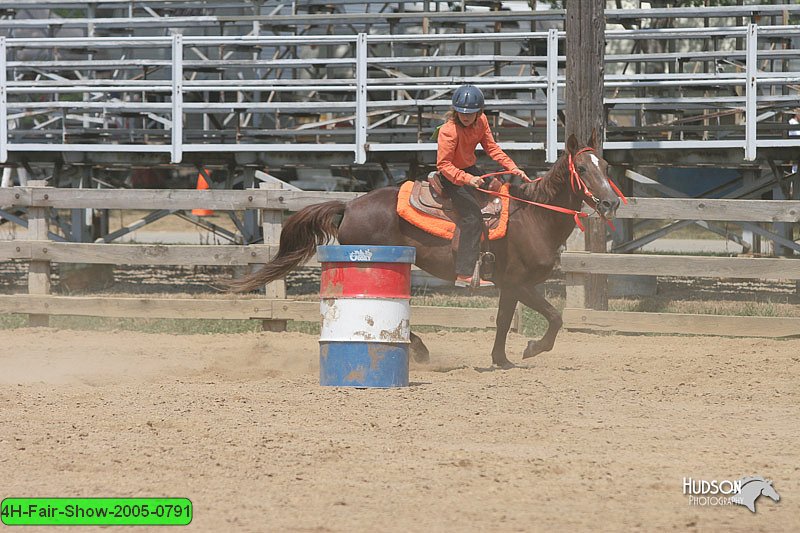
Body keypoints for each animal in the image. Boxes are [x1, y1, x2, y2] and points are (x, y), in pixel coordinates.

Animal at [228, 131, 620, 368]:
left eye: (606, 165)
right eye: (582, 167)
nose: (612, 202)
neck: (534, 216)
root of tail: (350, 205)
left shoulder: (509, 286)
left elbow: (503, 321)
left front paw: (501, 359)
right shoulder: (519, 283)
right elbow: (555, 317)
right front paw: (532, 349)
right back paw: (419, 349)